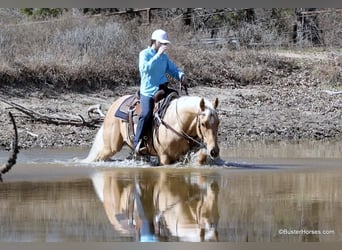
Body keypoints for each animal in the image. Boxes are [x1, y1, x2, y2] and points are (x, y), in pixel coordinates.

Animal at [84, 94, 220, 165]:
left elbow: (201, 158)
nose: (214, 151)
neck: (177, 123)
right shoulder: (165, 157)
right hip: (111, 148)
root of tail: (113, 105)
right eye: (203, 124)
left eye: (218, 123)